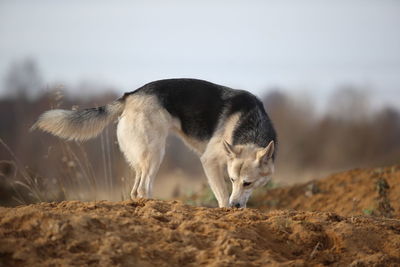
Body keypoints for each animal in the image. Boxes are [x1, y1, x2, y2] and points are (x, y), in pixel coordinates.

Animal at [31, 78, 276, 208]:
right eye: (233, 179)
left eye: (247, 183)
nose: (236, 206)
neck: (250, 125)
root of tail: (130, 95)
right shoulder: (209, 161)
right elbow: (223, 195)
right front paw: (227, 209)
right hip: (156, 153)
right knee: (142, 188)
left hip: (143, 157)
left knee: (135, 190)